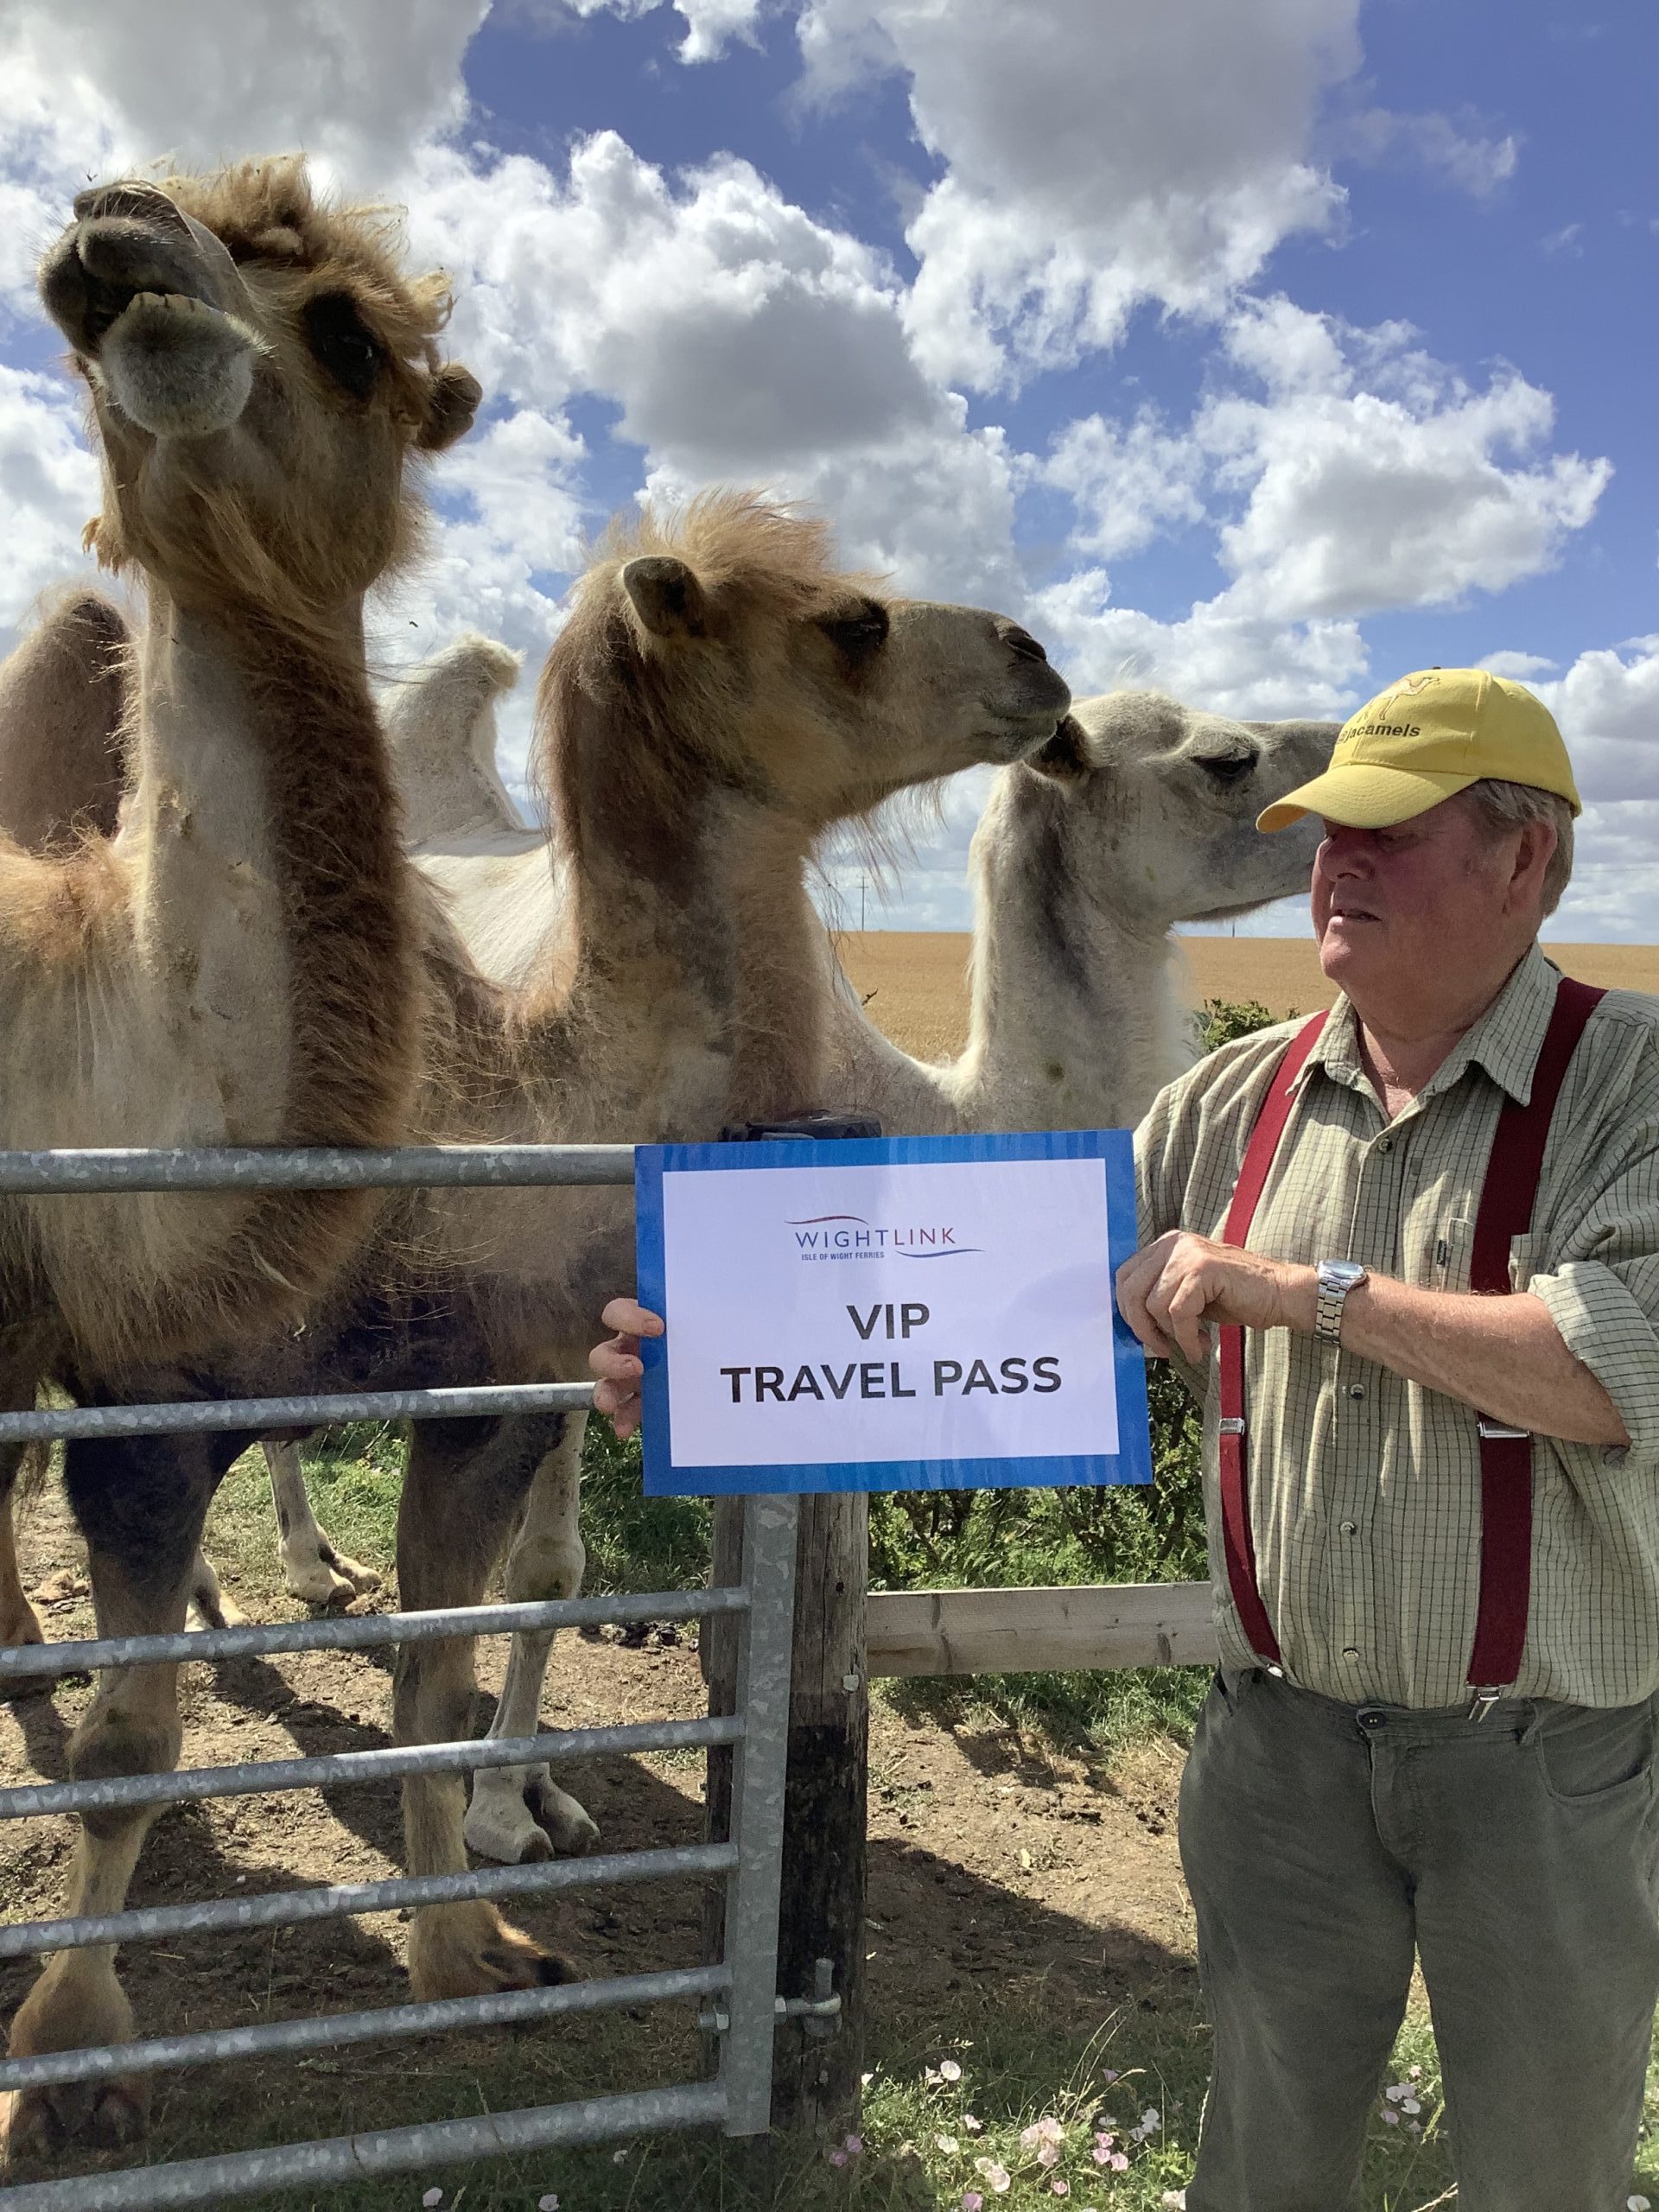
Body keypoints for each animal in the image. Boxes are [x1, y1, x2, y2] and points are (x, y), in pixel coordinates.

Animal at [4, 493, 1072, 2158]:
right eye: (853, 622)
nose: (1040, 661)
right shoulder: (154, 1409)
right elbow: (128, 1756)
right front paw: (69, 2063)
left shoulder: (484, 1400)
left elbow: (436, 1685)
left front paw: (469, 1955)